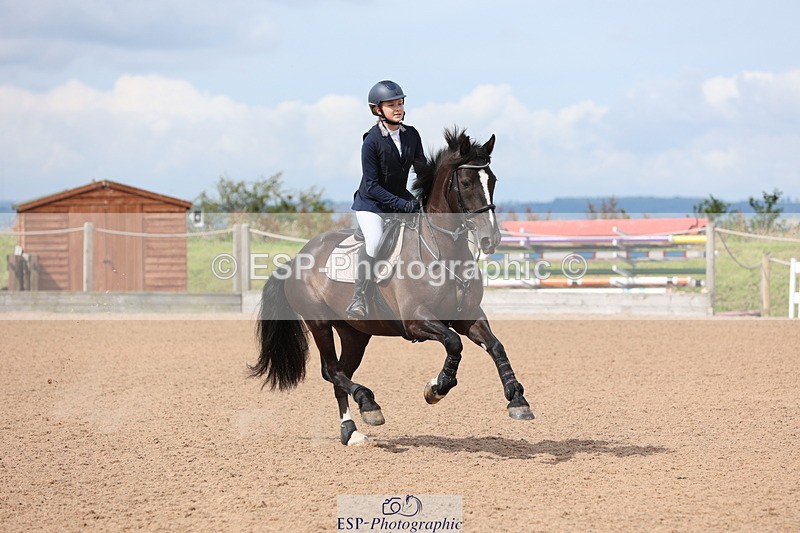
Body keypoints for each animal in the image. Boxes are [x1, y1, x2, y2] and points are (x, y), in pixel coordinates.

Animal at [250, 127, 534, 446]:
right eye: (465, 182)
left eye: (493, 181)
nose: (490, 239)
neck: (444, 251)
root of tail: (296, 258)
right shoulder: (416, 320)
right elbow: (453, 343)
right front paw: (437, 387)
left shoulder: (468, 316)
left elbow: (496, 346)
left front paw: (518, 400)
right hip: (319, 322)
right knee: (332, 370)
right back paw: (368, 404)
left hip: (354, 333)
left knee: (339, 373)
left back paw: (351, 430)